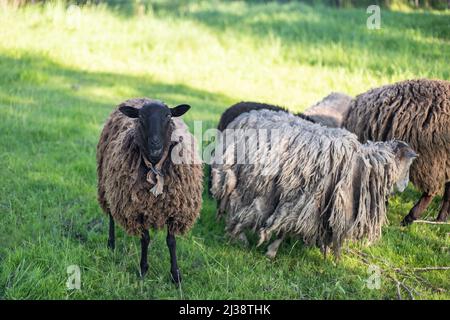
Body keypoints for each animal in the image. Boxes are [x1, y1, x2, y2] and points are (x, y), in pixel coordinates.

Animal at [211, 109, 418, 258]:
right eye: (408, 165)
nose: (405, 185)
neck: (367, 164)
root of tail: (243, 117)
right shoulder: (306, 200)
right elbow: (285, 225)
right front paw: (272, 251)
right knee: (234, 203)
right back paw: (239, 236)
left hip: (240, 177)